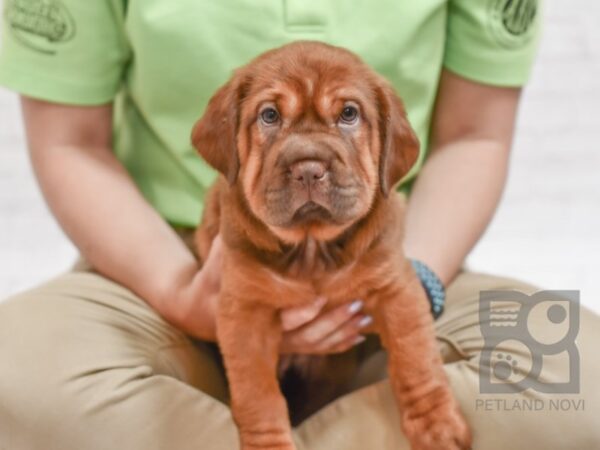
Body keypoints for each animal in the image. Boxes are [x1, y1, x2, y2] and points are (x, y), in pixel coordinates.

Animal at [192, 40, 474, 448]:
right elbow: (256, 392)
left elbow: (416, 358)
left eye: (349, 114)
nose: (309, 168)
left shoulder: (396, 290)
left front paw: (437, 425)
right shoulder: (244, 312)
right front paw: (269, 444)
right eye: (269, 115)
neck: (312, 250)